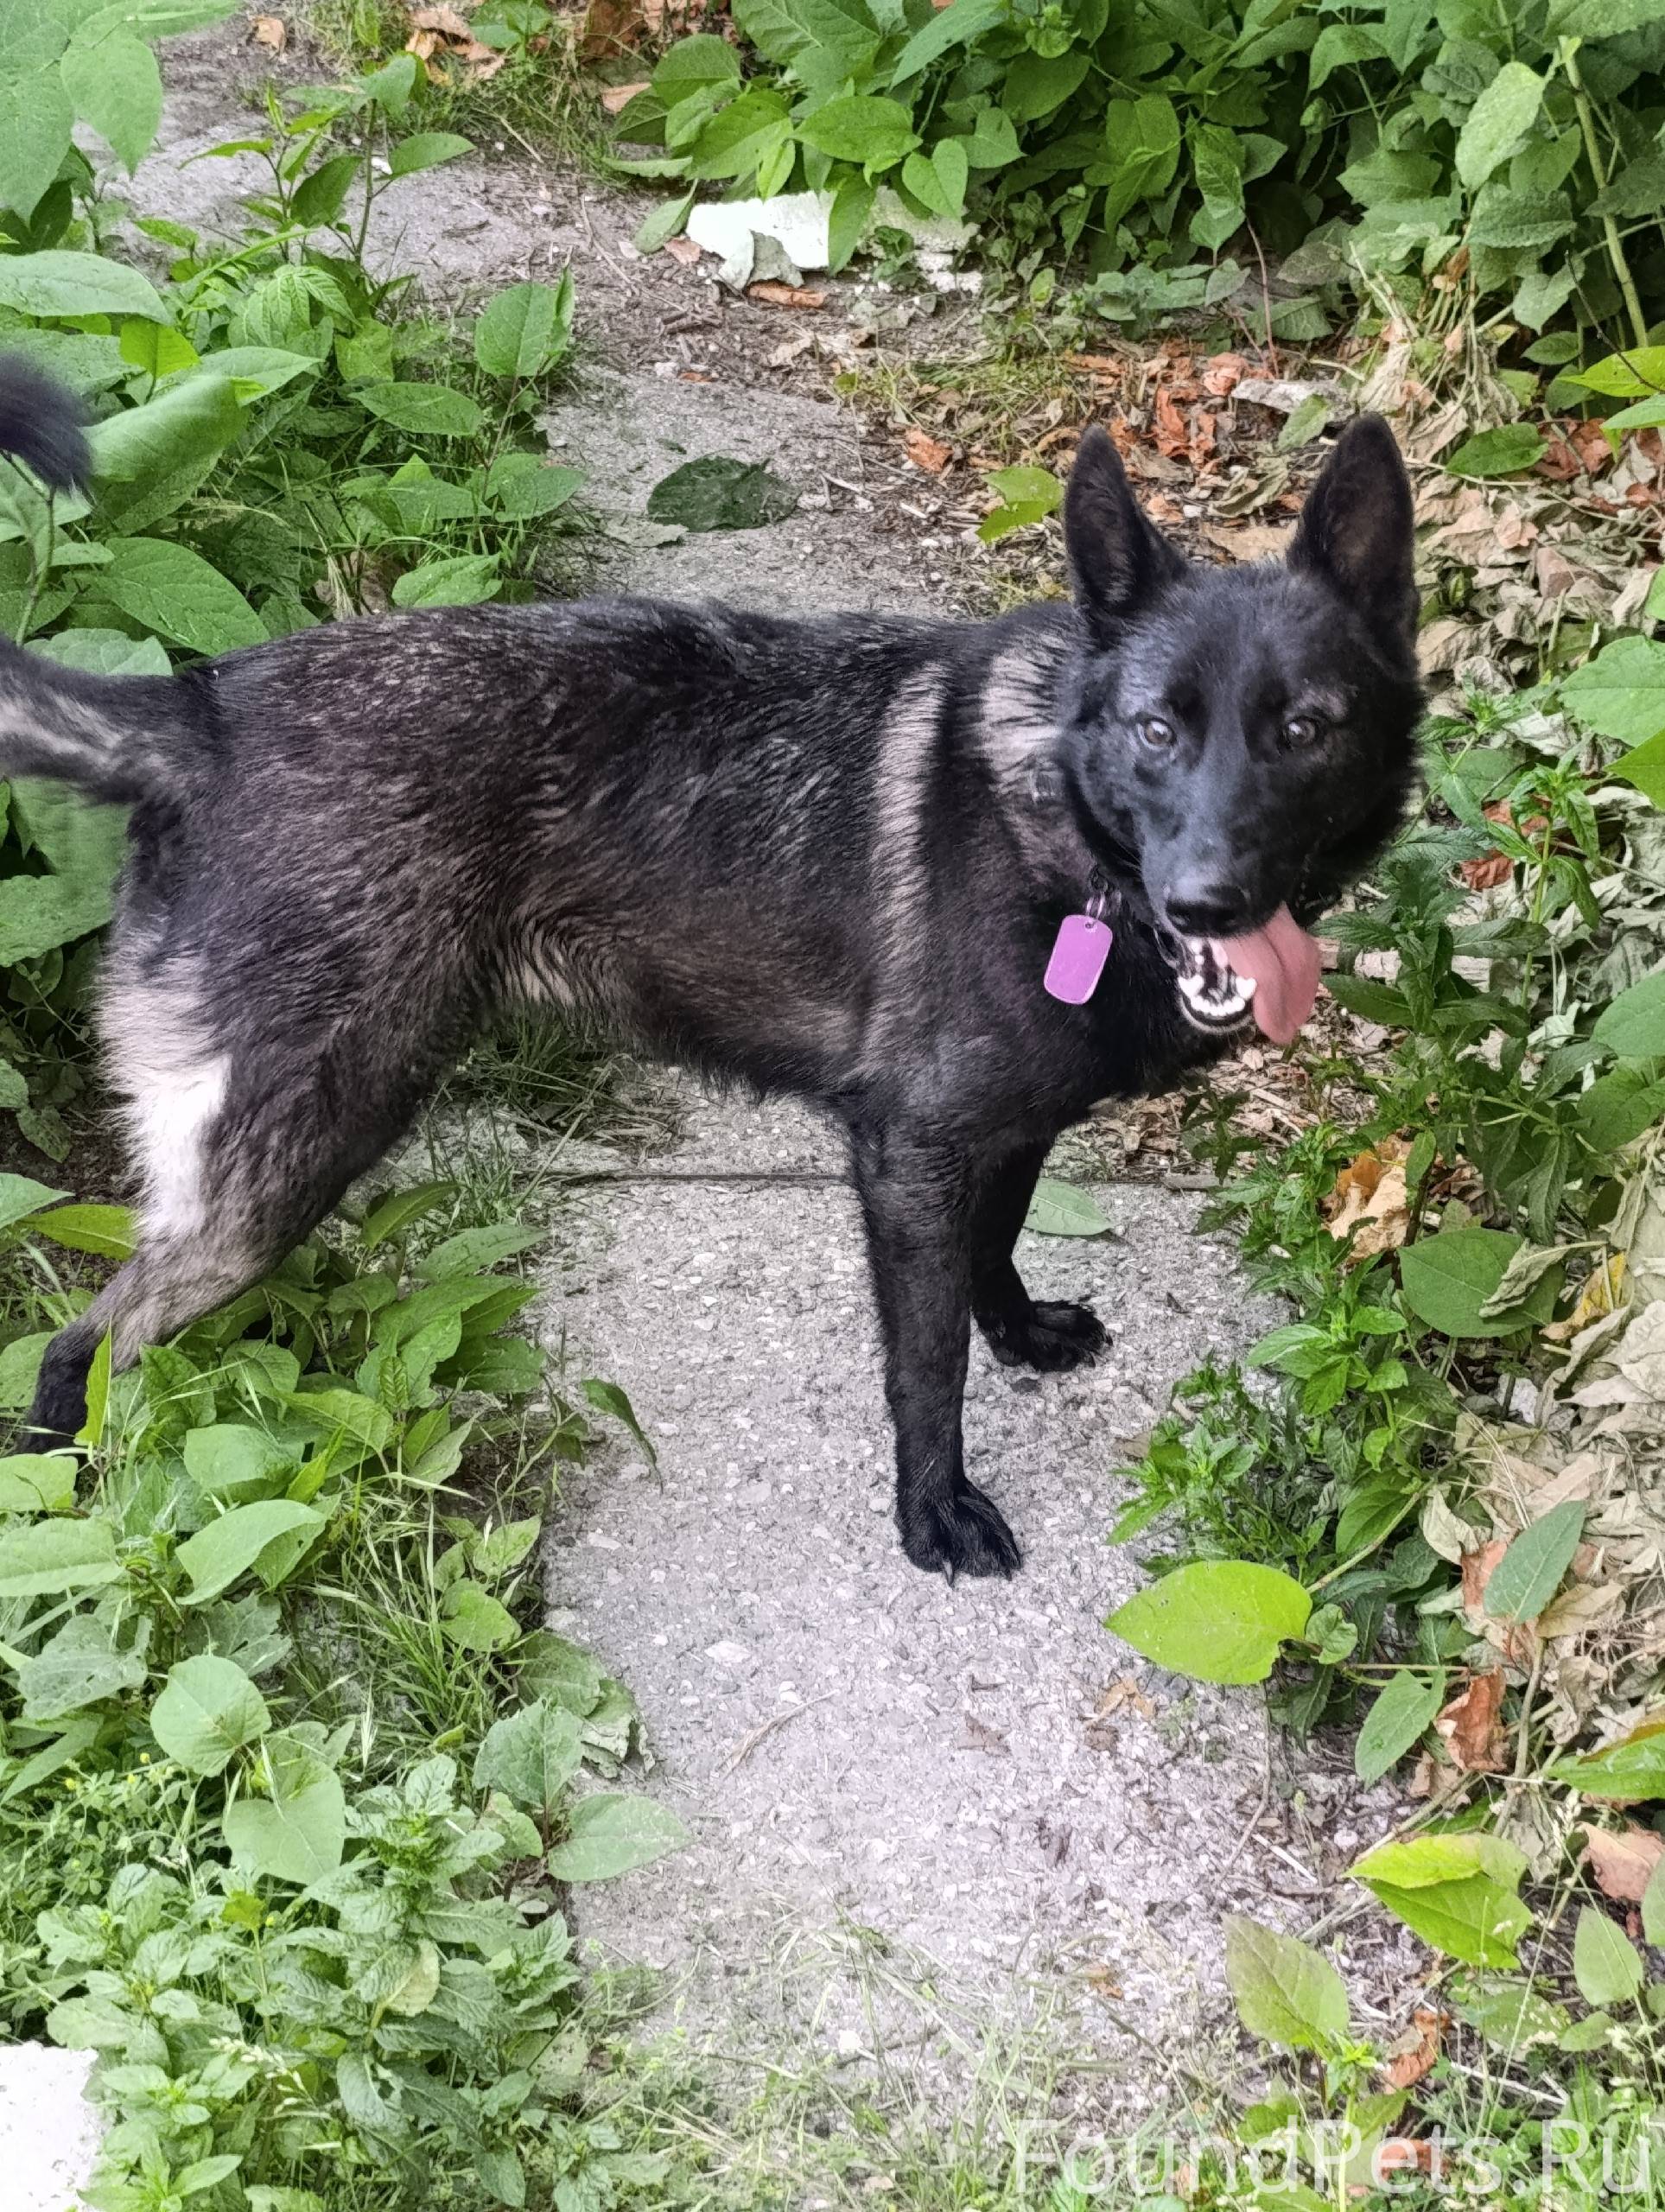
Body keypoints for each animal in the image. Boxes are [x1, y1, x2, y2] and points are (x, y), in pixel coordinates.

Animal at [0, 357, 1423, 1577]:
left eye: (1303, 728)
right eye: (1154, 729)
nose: (1208, 899)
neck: (1064, 822)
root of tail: (199, 714)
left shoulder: (1003, 1133)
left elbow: (995, 1250)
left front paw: (1016, 1331)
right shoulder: (908, 1158)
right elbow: (926, 1366)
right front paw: (931, 1510)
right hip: (286, 1154)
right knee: (76, 1350)